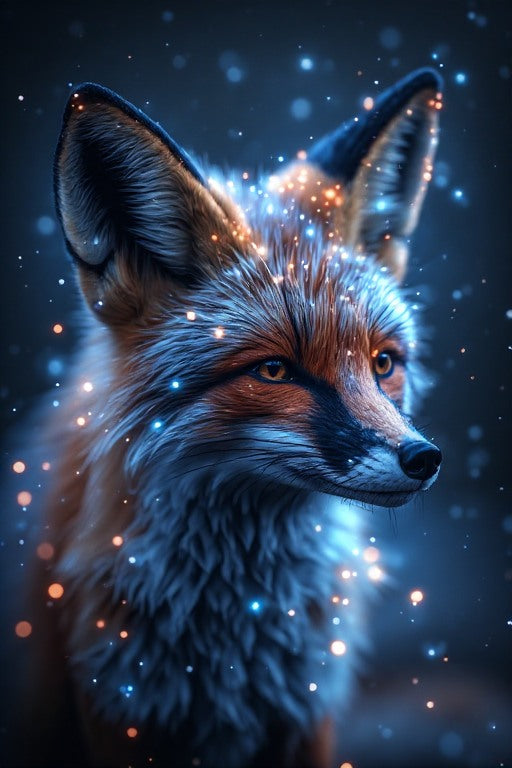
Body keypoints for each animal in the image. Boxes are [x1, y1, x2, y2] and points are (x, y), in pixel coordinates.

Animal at [4, 68, 442, 768]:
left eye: (383, 363)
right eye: (274, 371)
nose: (423, 459)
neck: (228, 659)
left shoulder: (306, 711)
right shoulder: (117, 705)